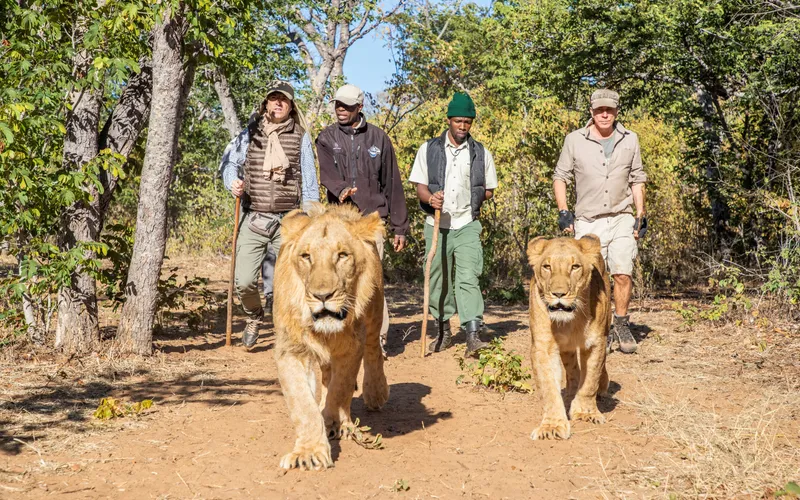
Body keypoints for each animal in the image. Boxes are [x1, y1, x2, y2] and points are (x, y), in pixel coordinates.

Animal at [272, 203, 389, 470]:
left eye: (342, 255)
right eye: (306, 257)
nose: (322, 295)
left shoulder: (352, 345)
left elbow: (340, 388)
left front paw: (332, 421)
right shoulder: (291, 349)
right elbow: (303, 404)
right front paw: (308, 453)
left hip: (375, 312)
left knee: (373, 350)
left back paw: (373, 395)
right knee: (326, 376)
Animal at [526, 235, 611, 440]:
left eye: (575, 267)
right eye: (547, 267)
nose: (558, 294)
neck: (569, 322)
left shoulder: (596, 343)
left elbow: (590, 381)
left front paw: (586, 413)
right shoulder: (542, 347)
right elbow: (548, 388)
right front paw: (551, 426)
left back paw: (602, 388)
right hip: (566, 349)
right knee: (572, 371)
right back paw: (570, 394)